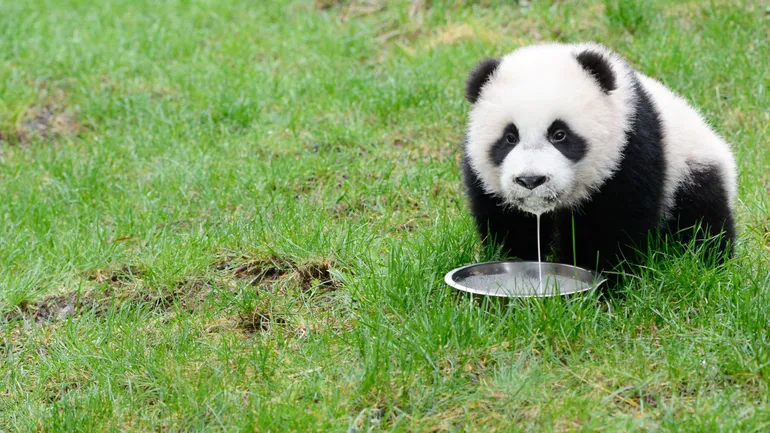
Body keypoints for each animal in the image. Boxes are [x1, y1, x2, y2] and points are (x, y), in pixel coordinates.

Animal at [462, 42, 737, 275]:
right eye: (510, 137)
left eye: (559, 134)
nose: (531, 180)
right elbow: (509, 224)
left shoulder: (629, 149)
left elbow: (612, 225)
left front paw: (603, 280)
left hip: (690, 170)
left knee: (701, 223)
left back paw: (706, 263)